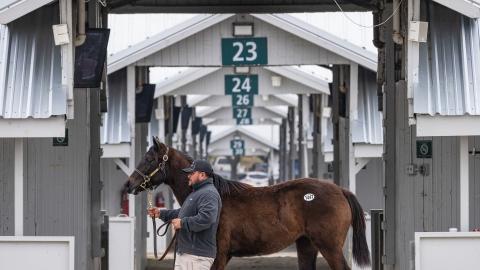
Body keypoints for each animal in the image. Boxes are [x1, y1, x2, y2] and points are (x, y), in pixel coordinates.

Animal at [125, 138, 370, 268]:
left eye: (149, 159)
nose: (129, 184)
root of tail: (340, 190)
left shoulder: (219, 256)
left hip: (330, 247)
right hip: (307, 245)